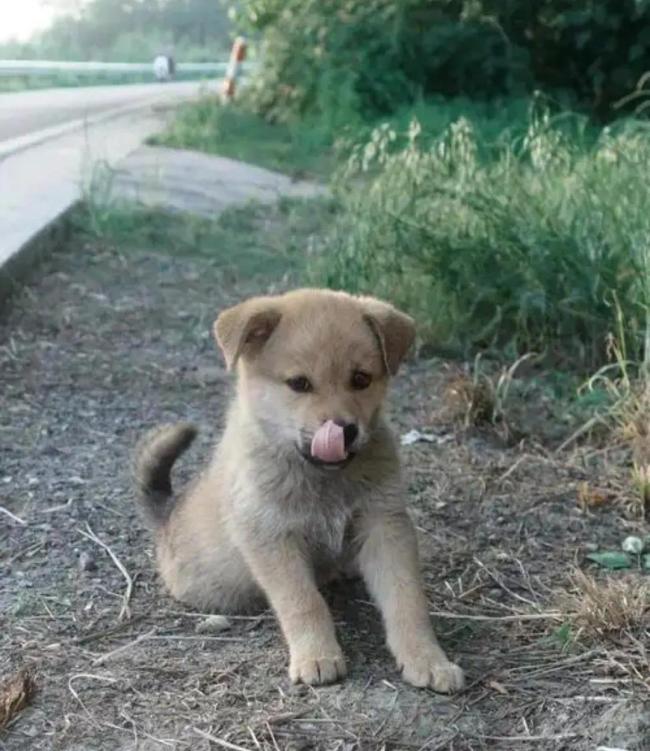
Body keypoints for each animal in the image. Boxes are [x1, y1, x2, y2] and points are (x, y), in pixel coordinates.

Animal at [134, 290, 464, 692]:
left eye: (361, 379)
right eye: (299, 384)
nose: (343, 431)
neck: (322, 479)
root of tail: (167, 515)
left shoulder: (384, 524)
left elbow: (407, 598)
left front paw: (428, 659)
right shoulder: (271, 537)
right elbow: (303, 602)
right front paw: (317, 656)